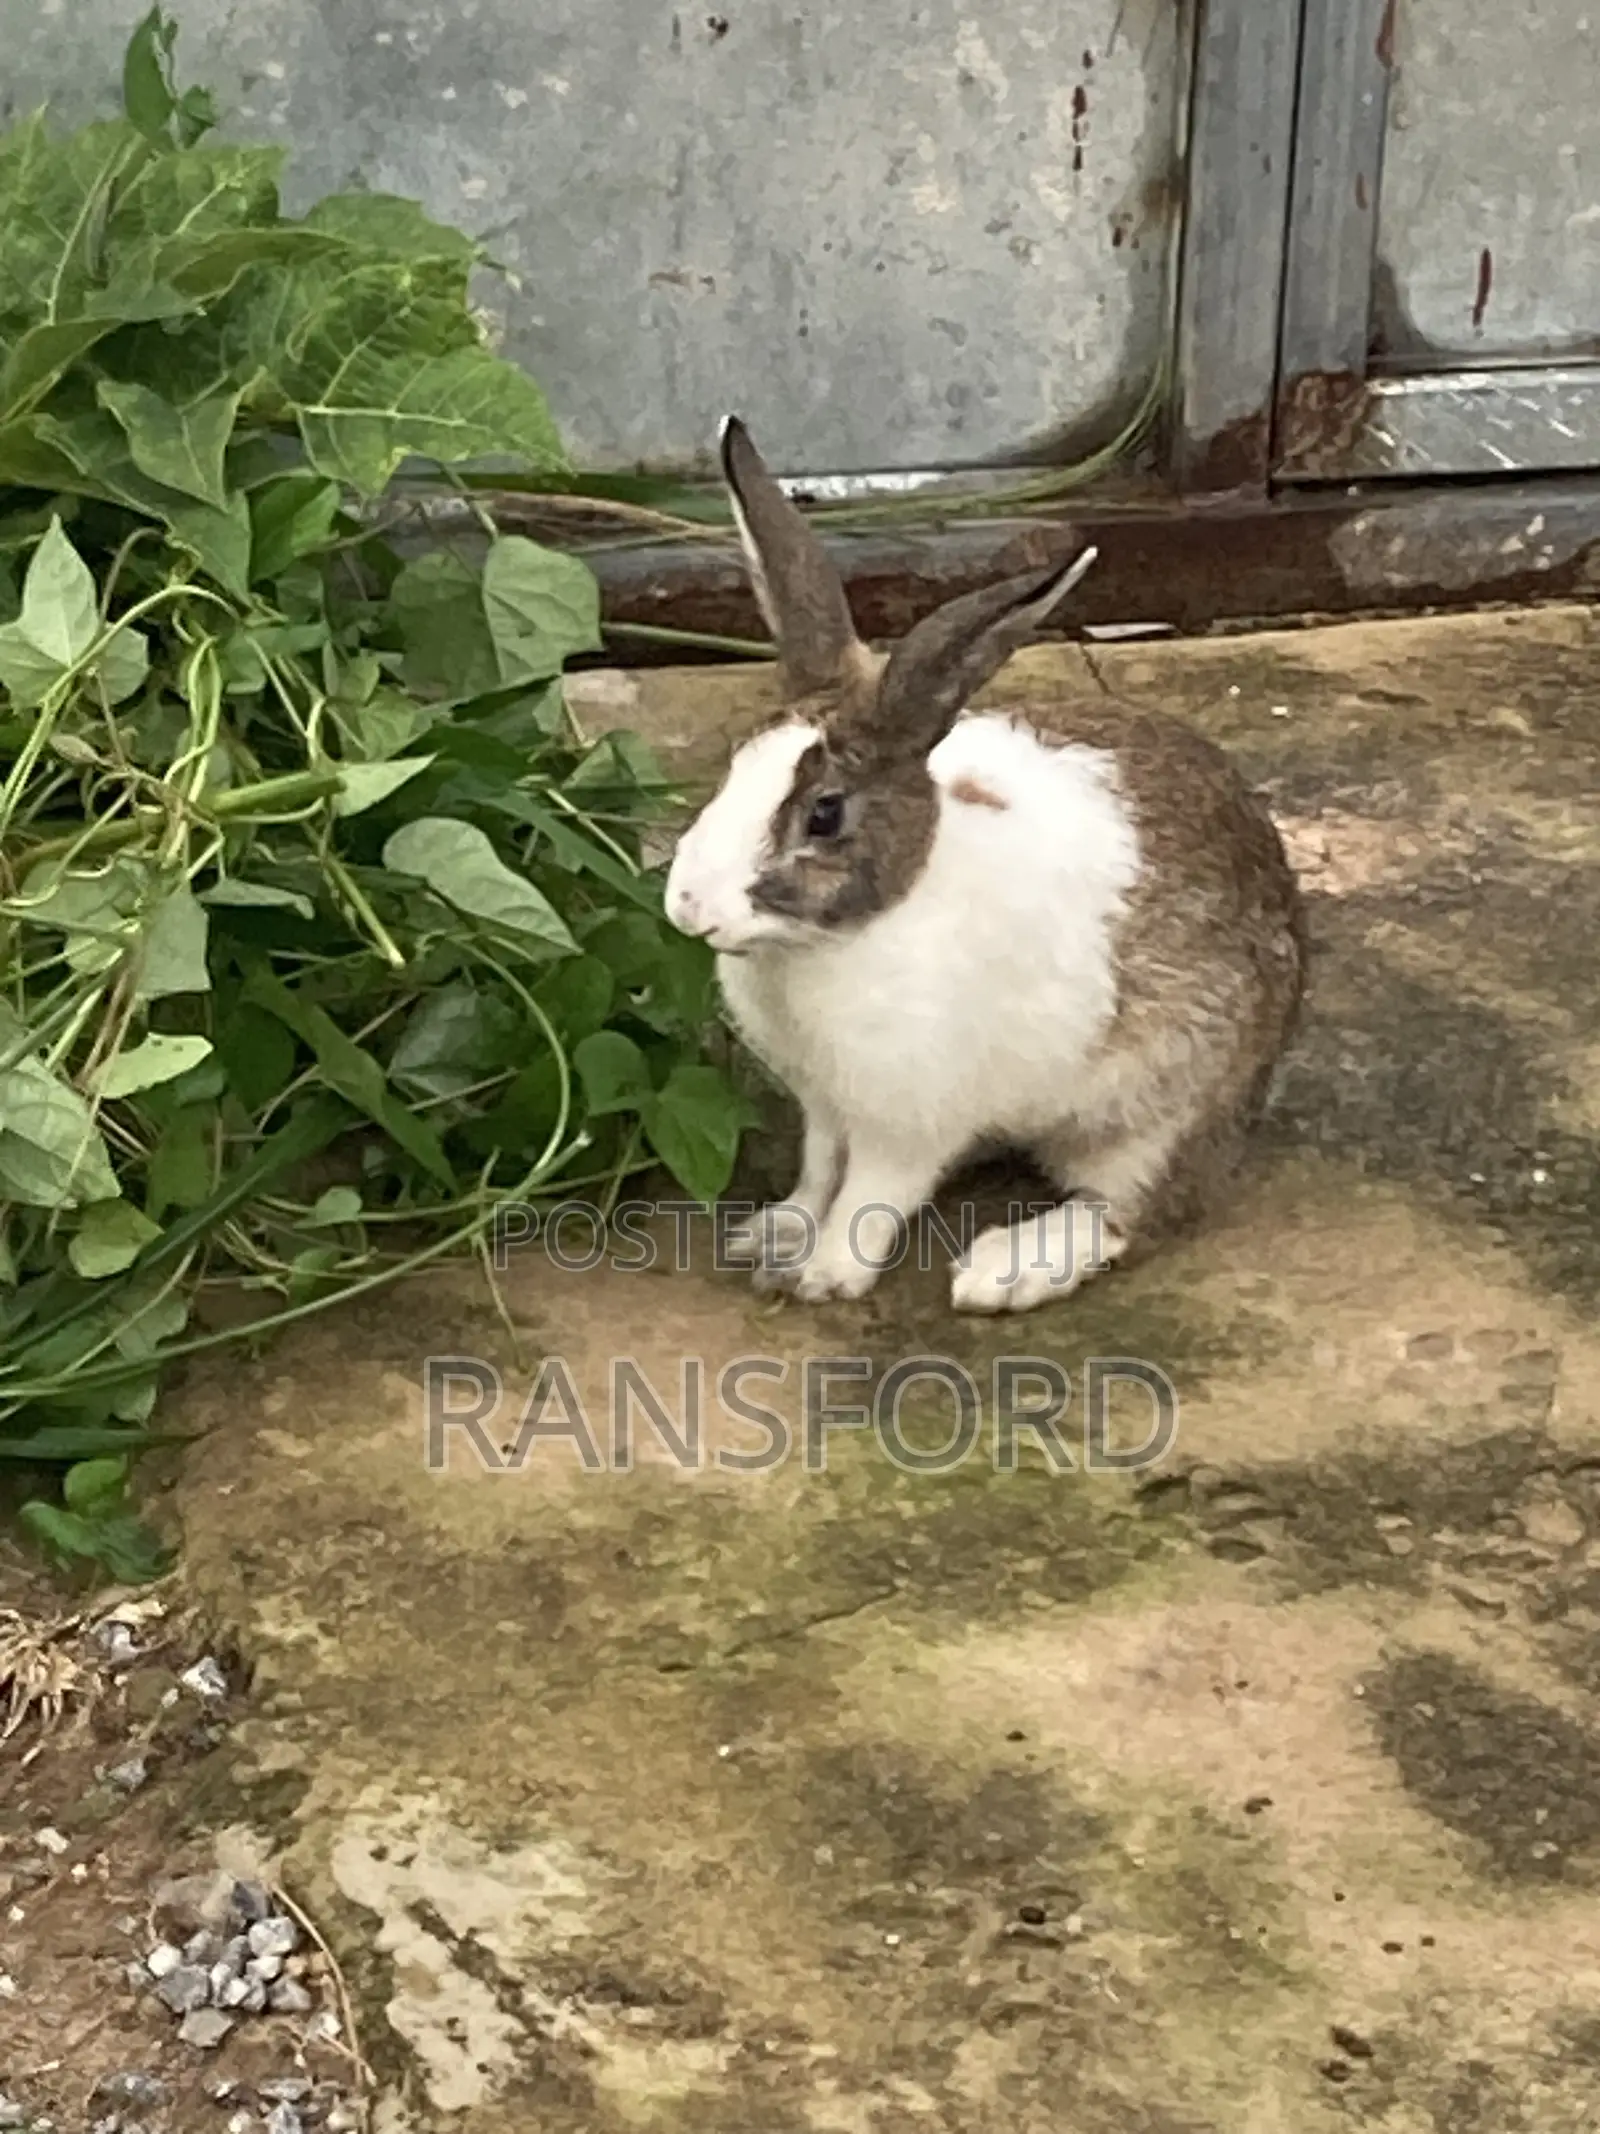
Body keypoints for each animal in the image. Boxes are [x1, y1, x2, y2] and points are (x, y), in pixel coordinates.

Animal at [663, 417, 1307, 1312]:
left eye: (825, 814)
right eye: (734, 764)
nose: (690, 906)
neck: (844, 938)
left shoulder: (908, 1121)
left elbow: (870, 1196)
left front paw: (825, 1276)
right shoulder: (825, 1105)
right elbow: (820, 1172)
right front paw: (774, 1234)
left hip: (1161, 1115)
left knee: (1129, 1213)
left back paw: (1008, 1269)